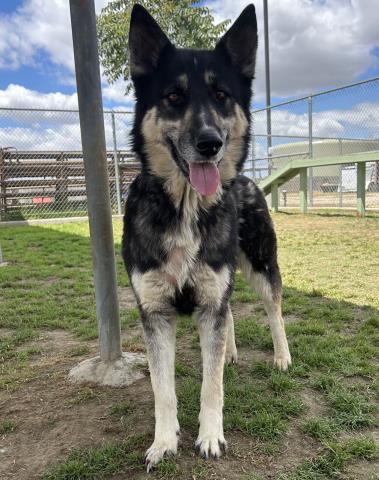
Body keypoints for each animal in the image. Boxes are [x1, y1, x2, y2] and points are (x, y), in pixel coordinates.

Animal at [123, 2, 292, 468]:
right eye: (173, 96)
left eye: (222, 96)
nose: (209, 143)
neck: (185, 208)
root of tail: (250, 180)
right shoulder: (155, 312)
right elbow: (162, 390)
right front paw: (164, 442)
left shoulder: (211, 300)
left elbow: (210, 385)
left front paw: (211, 436)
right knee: (230, 313)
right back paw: (231, 351)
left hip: (260, 265)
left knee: (273, 310)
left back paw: (282, 356)